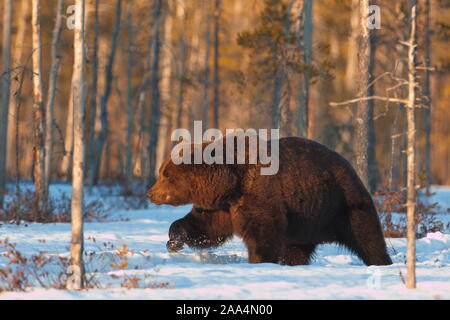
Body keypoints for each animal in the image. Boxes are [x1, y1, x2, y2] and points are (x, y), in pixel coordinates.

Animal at [149, 136, 392, 266]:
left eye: (166, 175)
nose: (151, 193)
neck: (230, 183)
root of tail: (350, 167)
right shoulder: (222, 207)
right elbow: (206, 227)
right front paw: (173, 240)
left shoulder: (258, 195)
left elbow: (262, 233)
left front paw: (258, 260)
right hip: (304, 223)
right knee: (297, 250)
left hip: (342, 204)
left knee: (367, 236)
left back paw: (382, 261)